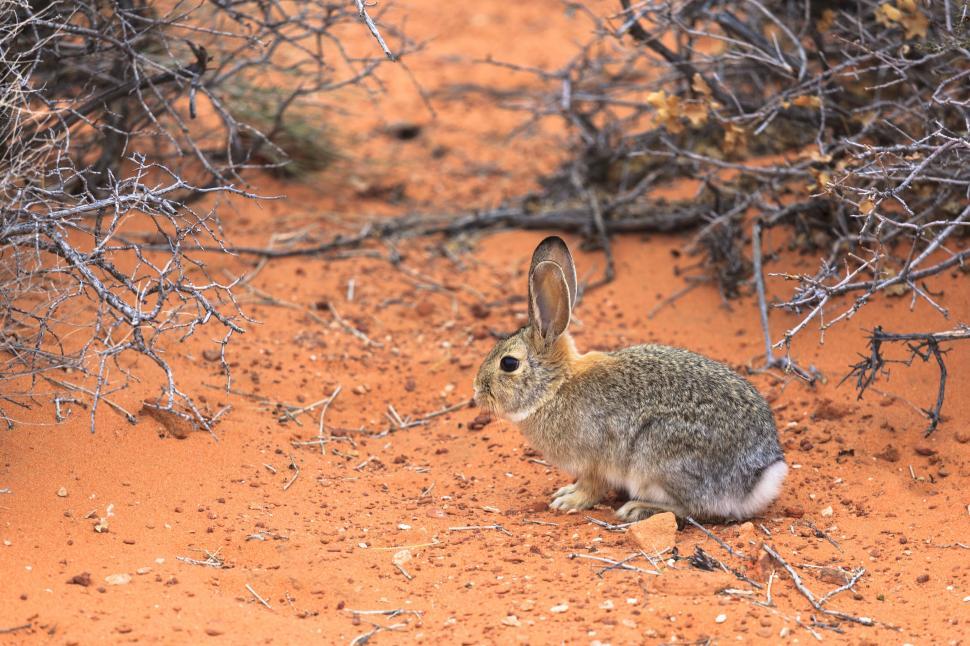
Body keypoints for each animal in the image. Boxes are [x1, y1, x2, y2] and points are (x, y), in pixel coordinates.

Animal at [473, 236, 787, 523]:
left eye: (509, 363)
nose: (476, 391)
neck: (555, 388)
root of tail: (758, 476)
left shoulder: (594, 462)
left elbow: (592, 487)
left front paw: (569, 501)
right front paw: (565, 492)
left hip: (657, 458)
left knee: (694, 509)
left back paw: (637, 509)